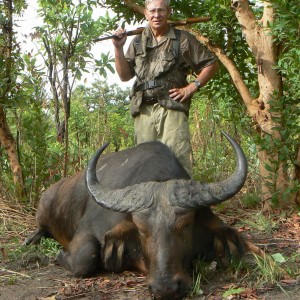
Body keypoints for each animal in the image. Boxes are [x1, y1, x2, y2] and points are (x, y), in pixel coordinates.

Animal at [27, 132, 248, 300]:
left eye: (185, 225)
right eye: (142, 230)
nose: (165, 288)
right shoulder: (87, 231)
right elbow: (85, 259)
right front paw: (59, 255)